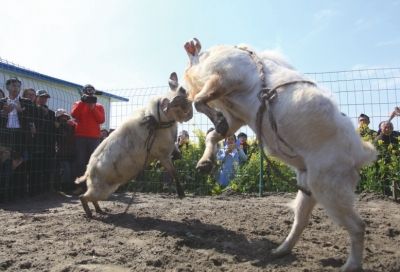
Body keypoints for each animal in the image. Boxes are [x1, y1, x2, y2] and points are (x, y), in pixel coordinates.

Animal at [77, 72, 194, 217]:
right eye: (182, 92)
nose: (190, 115)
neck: (159, 121)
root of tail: (88, 172)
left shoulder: (169, 150)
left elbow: (177, 158)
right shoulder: (163, 154)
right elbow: (174, 172)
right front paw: (181, 194)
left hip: (107, 189)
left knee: (91, 199)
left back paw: (100, 211)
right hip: (101, 189)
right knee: (83, 197)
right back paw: (90, 214)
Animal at [183, 38, 376, 272]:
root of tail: (360, 153)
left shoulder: (227, 78)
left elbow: (200, 102)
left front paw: (216, 122)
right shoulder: (236, 116)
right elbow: (214, 134)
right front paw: (204, 164)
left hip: (330, 188)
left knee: (358, 226)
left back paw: (349, 266)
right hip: (308, 185)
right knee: (301, 220)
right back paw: (279, 251)